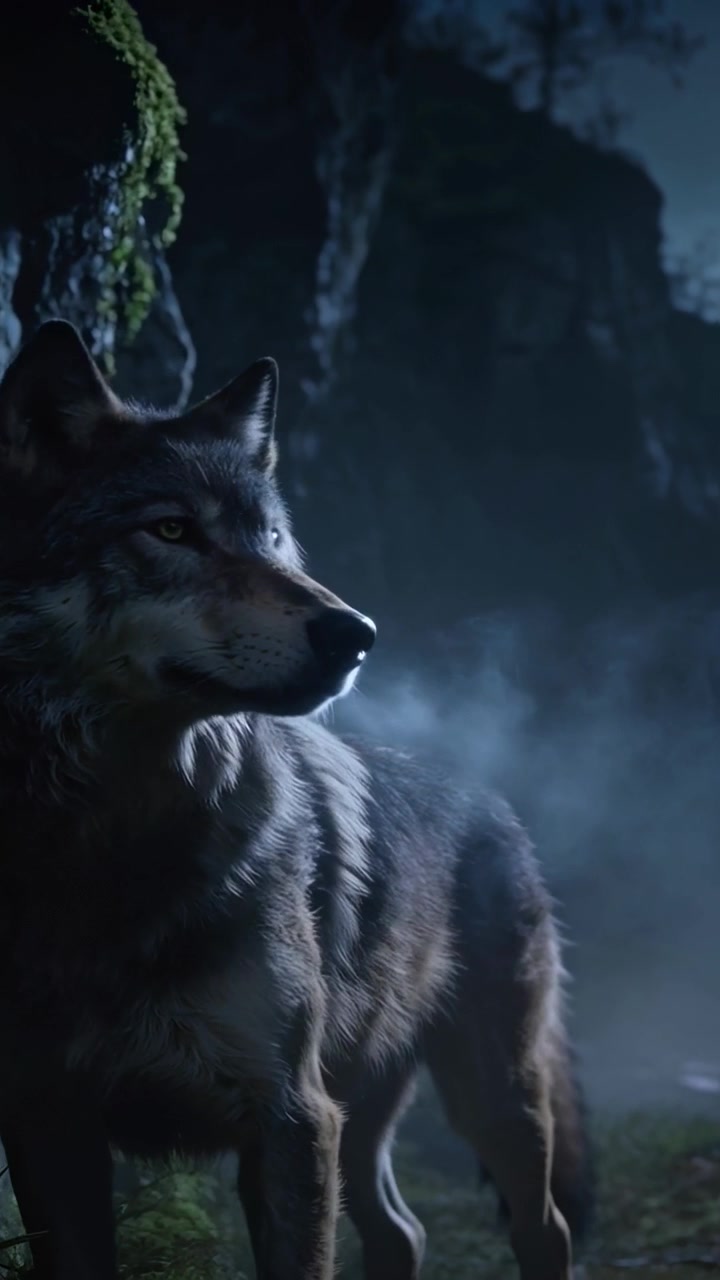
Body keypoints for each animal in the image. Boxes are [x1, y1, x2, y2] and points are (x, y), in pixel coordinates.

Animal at [0, 320, 592, 1280]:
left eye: (272, 538)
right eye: (172, 529)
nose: (357, 634)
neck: (113, 838)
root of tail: (490, 796)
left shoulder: (288, 1119)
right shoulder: (51, 1125)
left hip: (488, 1097)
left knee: (545, 1228)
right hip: (365, 1112)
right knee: (402, 1231)